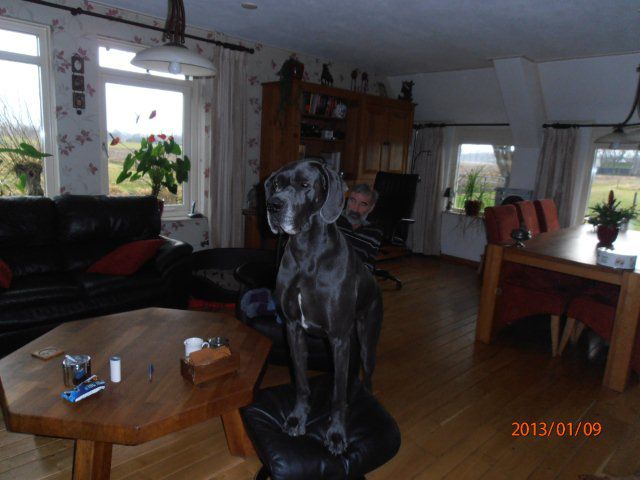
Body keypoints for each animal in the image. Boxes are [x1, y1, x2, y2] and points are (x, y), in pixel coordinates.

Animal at [265, 159, 383, 455]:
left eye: (305, 184)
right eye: (276, 184)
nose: (273, 205)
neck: (307, 252)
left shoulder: (338, 337)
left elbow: (337, 396)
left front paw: (337, 434)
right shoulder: (294, 329)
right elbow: (301, 382)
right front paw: (297, 418)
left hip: (367, 338)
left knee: (367, 374)